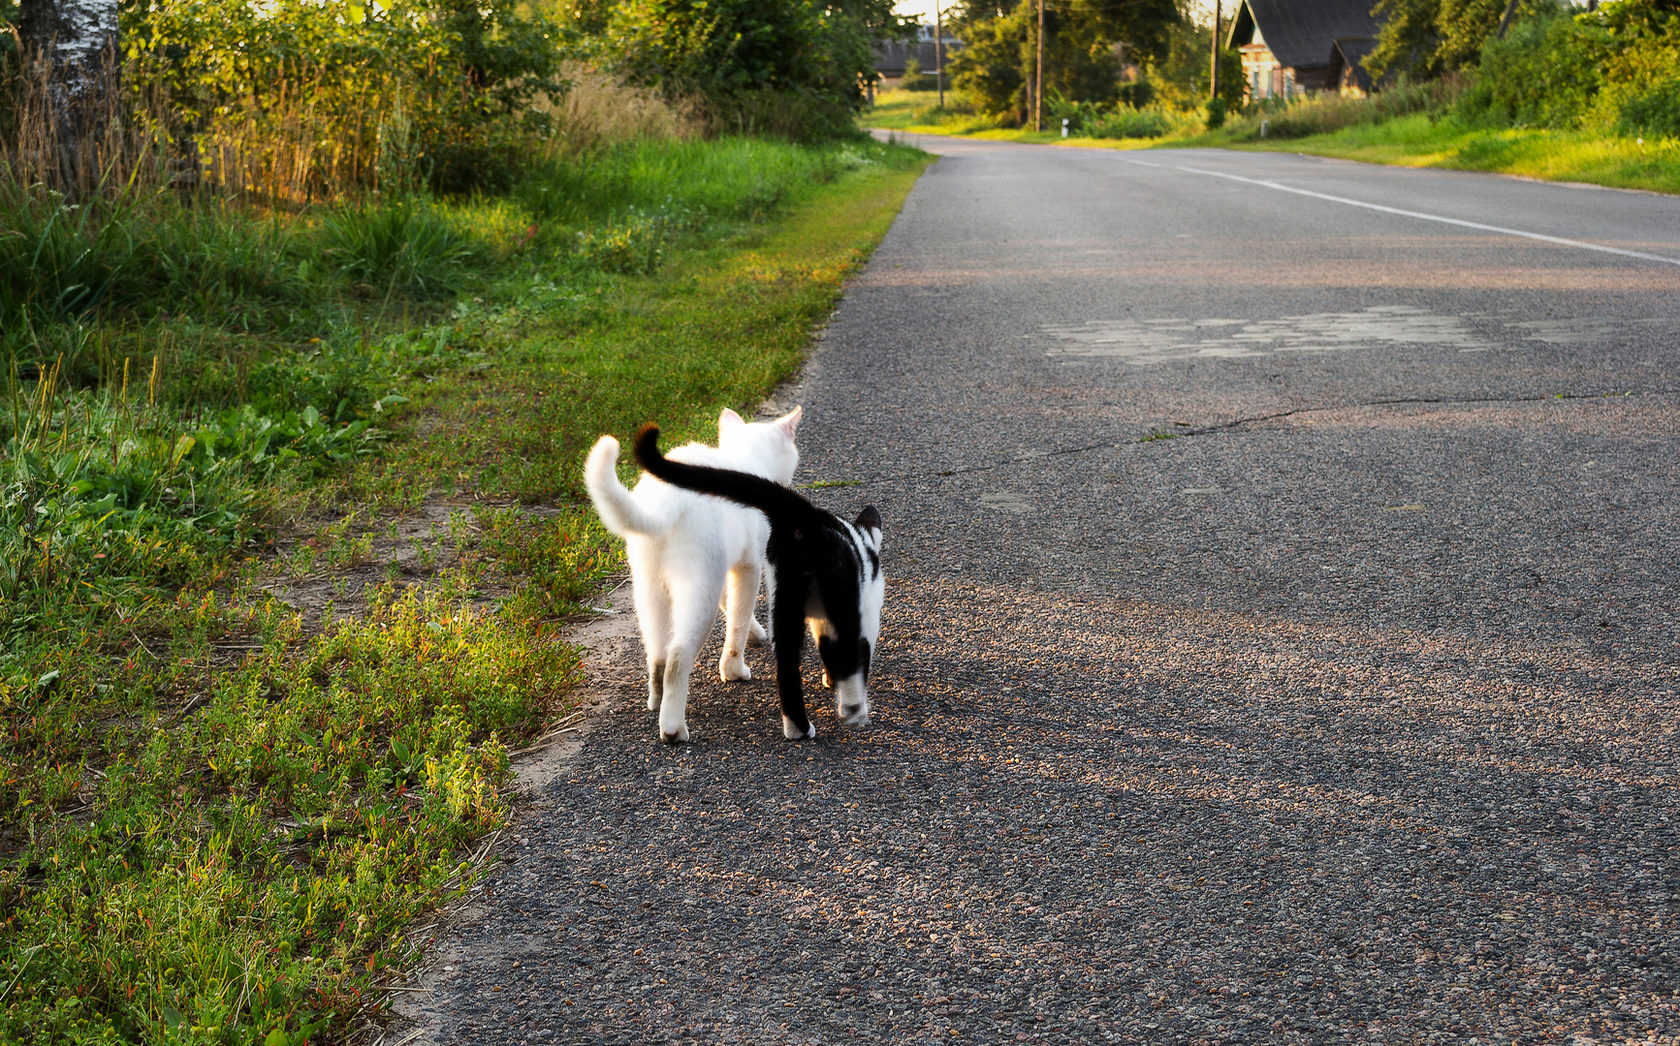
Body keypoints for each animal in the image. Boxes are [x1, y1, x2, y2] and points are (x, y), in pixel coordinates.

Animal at [588, 404, 803, 742]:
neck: (745, 457)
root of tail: (667, 497)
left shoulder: (726, 572)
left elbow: (733, 608)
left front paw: (756, 634)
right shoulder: (748, 566)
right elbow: (739, 618)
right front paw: (734, 669)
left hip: (650, 591)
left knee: (658, 654)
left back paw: (656, 700)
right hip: (699, 590)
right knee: (678, 655)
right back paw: (673, 728)